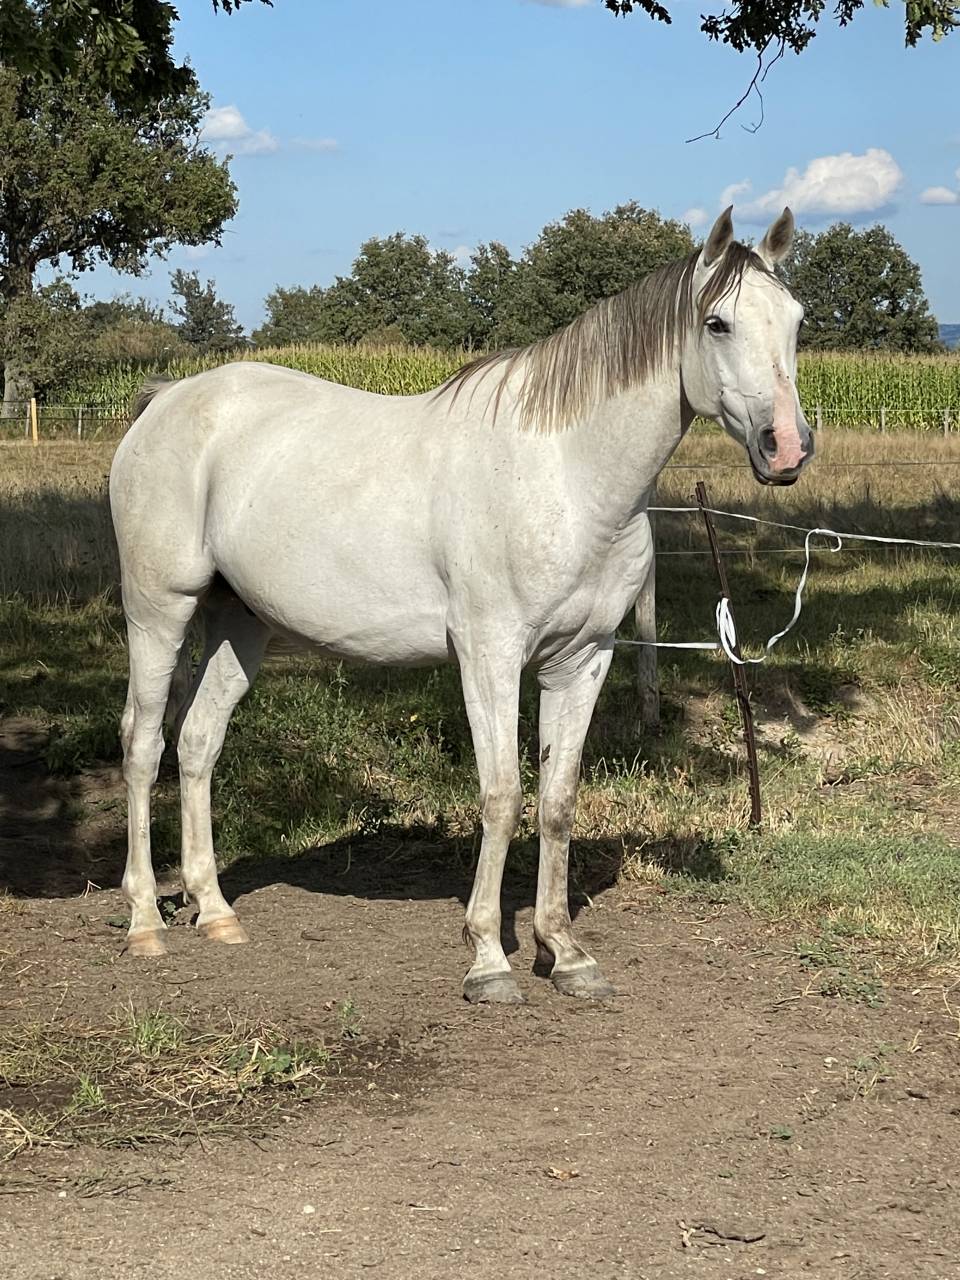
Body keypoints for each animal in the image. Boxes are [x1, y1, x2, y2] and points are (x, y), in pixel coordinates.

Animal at [109, 206, 813, 1003]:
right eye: (718, 323)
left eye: (796, 321)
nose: (788, 448)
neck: (566, 474)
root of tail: (166, 400)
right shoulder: (489, 656)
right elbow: (502, 795)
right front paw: (488, 959)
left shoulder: (583, 659)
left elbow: (558, 801)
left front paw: (565, 953)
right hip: (159, 612)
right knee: (143, 745)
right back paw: (145, 922)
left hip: (240, 625)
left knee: (198, 742)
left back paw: (216, 911)